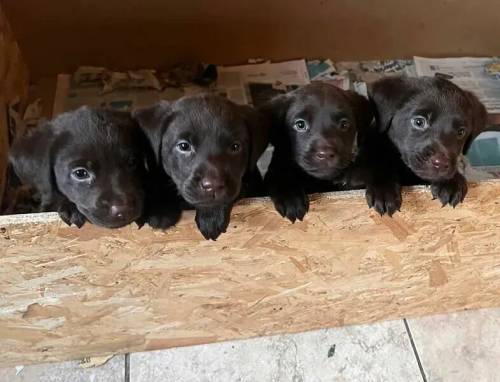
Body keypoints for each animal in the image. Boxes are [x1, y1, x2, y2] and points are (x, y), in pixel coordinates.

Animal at [260, 82, 374, 222]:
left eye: (344, 124)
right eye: (300, 124)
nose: (325, 154)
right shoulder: (273, 170)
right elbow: (279, 175)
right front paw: (290, 198)